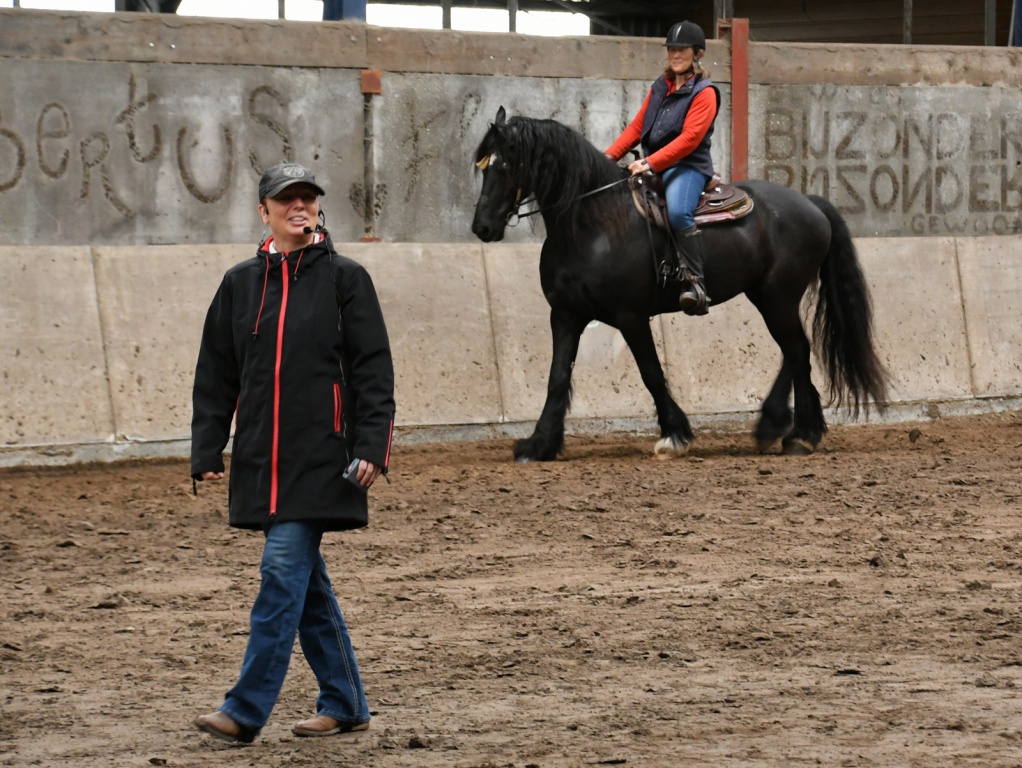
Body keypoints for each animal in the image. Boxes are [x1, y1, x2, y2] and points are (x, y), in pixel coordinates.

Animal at [471, 106, 889, 462]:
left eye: (504, 165)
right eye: (482, 167)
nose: (482, 227)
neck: (594, 224)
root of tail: (811, 203)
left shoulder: (631, 316)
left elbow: (652, 374)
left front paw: (674, 435)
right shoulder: (565, 315)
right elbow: (557, 377)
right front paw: (539, 443)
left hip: (778, 297)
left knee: (798, 350)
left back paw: (790, 431)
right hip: (766, 296)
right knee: (795, 353)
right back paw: (796, 430)